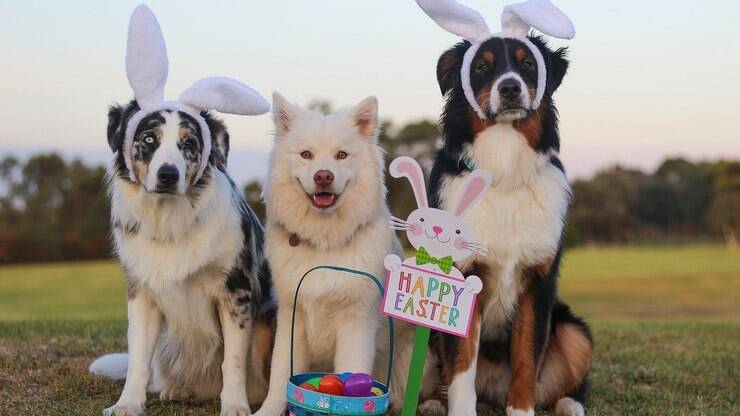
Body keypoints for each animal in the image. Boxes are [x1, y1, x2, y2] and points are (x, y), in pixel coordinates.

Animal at [91, 101, 276, 416]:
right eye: (149, 139)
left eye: (189, 143)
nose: (168, 175)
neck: (170, 221)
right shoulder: (142, 293)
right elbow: (138, 357)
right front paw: (127, 404)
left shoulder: (236, 290)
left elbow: (233, 360)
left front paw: (235, 405)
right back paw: (178, 390)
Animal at [254, 94, 404, 416]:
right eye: (306, 154)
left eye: (342, 155)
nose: (324, 176)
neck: (324, 241)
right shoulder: (291, 318)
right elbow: (279, 373)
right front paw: (268, 411)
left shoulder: (356, 323)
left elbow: (352, 368)